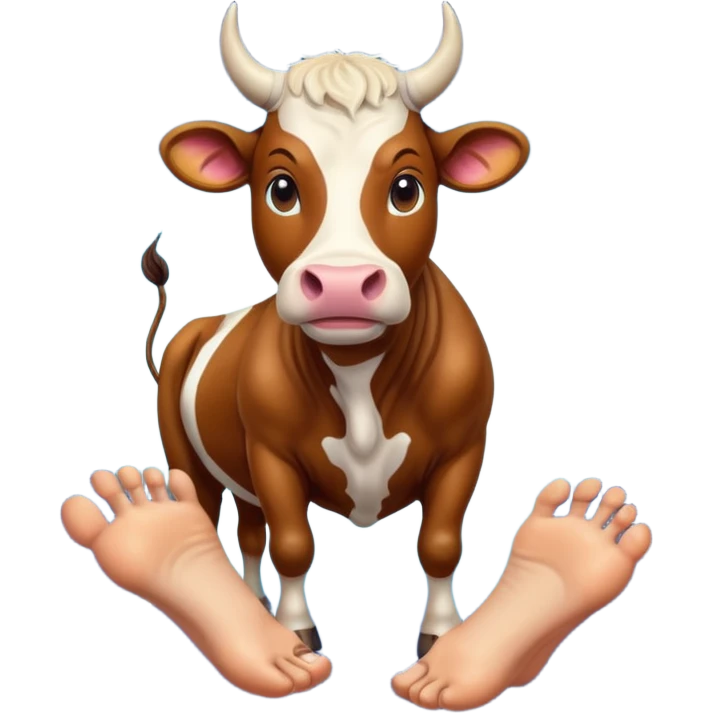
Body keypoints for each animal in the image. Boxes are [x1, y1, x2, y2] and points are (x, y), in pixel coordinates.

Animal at [143, 0, 531, 658]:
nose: (343, 284)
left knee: (249, 532)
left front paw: (439, 637)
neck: (358, 372)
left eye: (407, 187)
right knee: (213, 519)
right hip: (186, 459)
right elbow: (295, 544)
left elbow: (440, 544)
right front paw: (297, 634)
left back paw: (253, 603)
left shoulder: (465, 448)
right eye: (281, 188)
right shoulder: (271, 455)